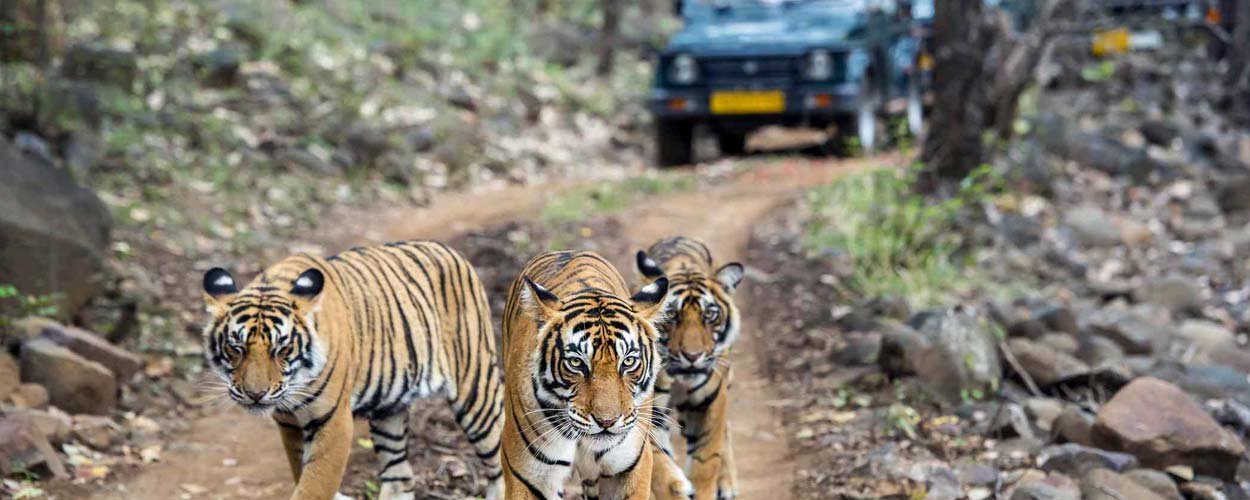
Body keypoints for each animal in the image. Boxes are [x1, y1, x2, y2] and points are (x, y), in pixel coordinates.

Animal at [199, 241, 504, 500]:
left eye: (282, 349)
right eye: (236, 348)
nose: (255, 394)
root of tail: (452, 251)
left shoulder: (333, 421)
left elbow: (314, 485)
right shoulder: (288, 423)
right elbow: (301, 472)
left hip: (477, 391)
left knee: (500, 460)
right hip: (389, 412)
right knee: (400, 477)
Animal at [634, 237, 745, 500]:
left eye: (710, 315)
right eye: (672, 315)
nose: (693, 356)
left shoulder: (709, 402)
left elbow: (706, 461)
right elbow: (660, 468)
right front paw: (677, 487)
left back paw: (727, 483)